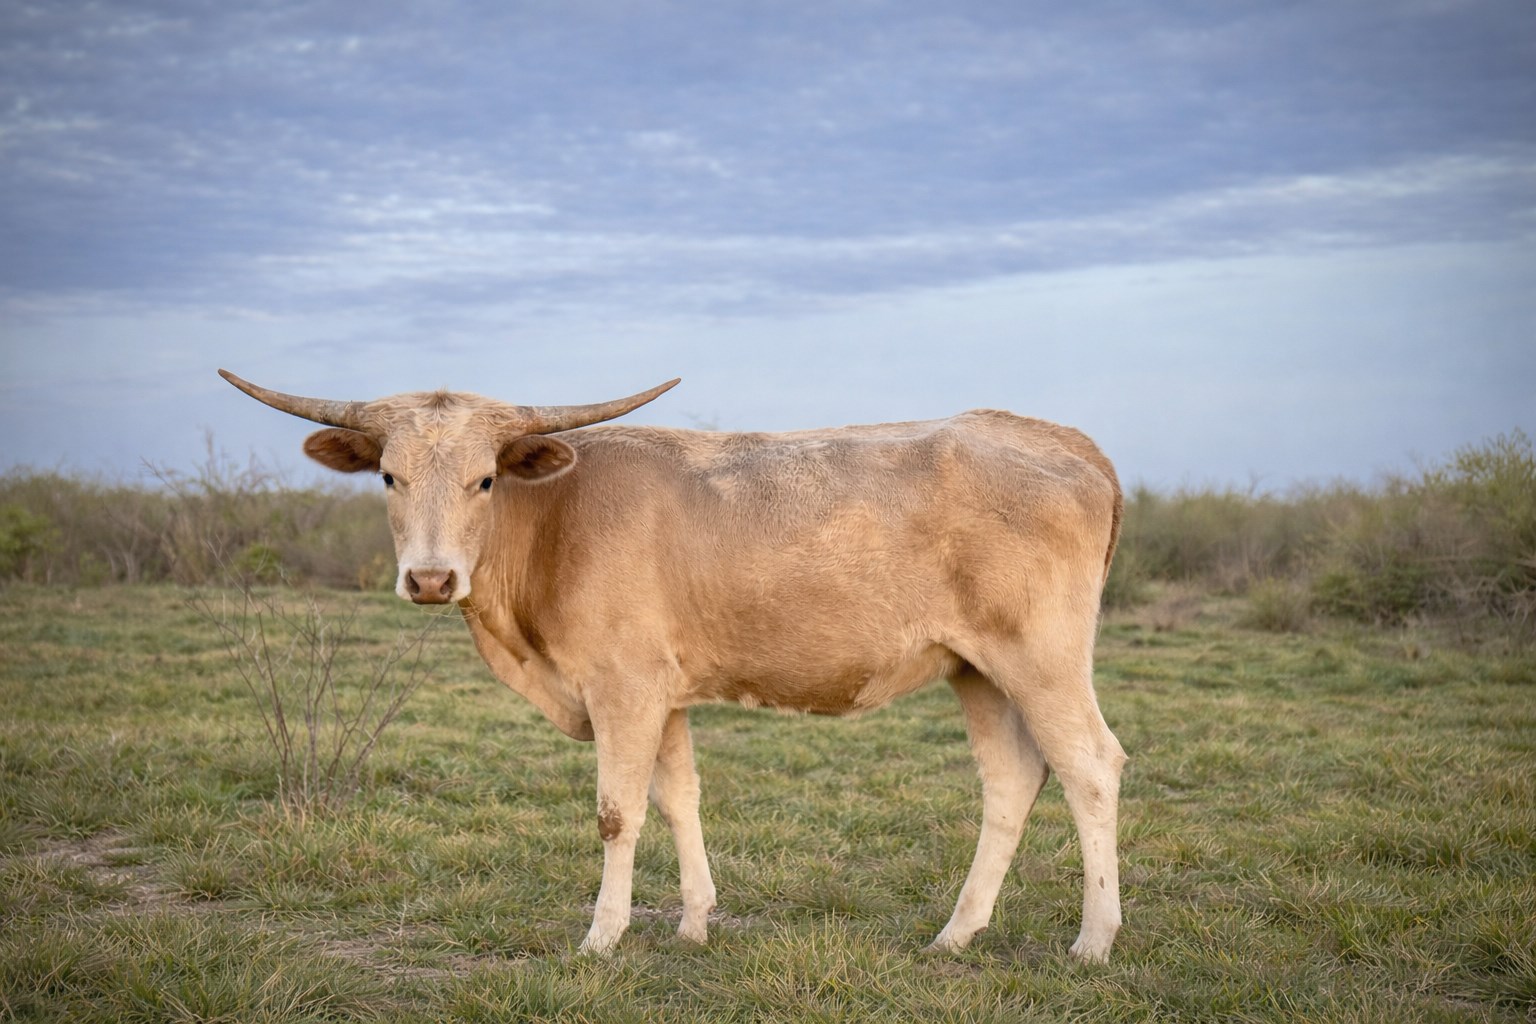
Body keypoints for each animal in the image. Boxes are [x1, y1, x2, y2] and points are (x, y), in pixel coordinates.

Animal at [220, 369, 1127, 962]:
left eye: (484, 480)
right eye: (388, 476)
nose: (432, 578)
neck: (553, 522)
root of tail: (1065, 440)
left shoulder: (622, 687)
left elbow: (618, 812)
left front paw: (602, 936)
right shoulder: (665, 692)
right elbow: (679, 796)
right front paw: (694, 921)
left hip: (1041, 659)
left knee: (1090, 767)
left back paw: (1093, 940)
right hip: (978, 670)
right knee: (1012, 780)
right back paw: (956, 934)